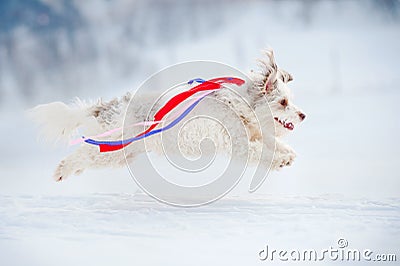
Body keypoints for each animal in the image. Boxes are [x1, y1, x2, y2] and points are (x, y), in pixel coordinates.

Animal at [28, 50, 306, 182]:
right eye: (283, 102)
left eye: (290, 99)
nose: (303, 115)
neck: (240, 106)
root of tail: (110, 106)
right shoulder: (237, 145)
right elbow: (260, 152)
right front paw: (281, 160)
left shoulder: (254, 134)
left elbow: (272, 143)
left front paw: (288, 154)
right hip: (115, 144)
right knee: (83, 152)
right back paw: (62, 170)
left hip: (119, 154)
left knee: (87, 156)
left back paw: (68, 171)